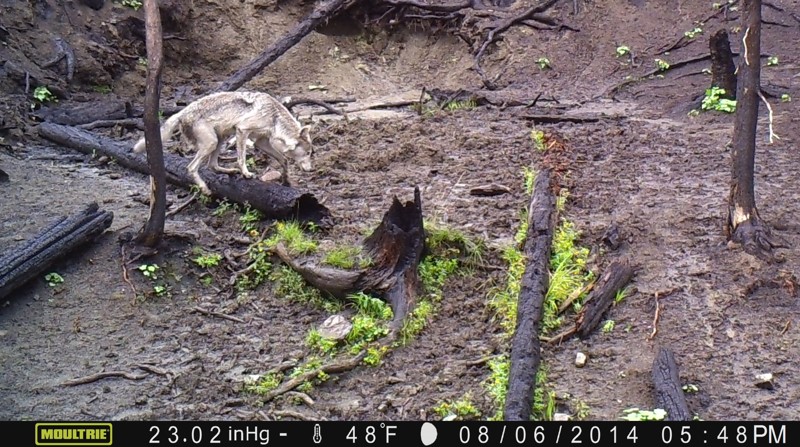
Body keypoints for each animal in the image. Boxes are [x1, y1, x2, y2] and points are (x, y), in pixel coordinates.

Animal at [132, 91, 313, 195]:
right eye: (309, 153)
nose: (312, 169)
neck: (275, 117)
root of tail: (182, 112)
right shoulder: (242, 130)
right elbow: (241, 159)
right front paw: (246, 174)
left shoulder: (260, 142)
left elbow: (284, 160)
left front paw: (286, 180)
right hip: (212, 142)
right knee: (191, 168)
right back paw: (205, 188)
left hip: (220, 139)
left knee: (212, 165)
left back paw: (229, 171)